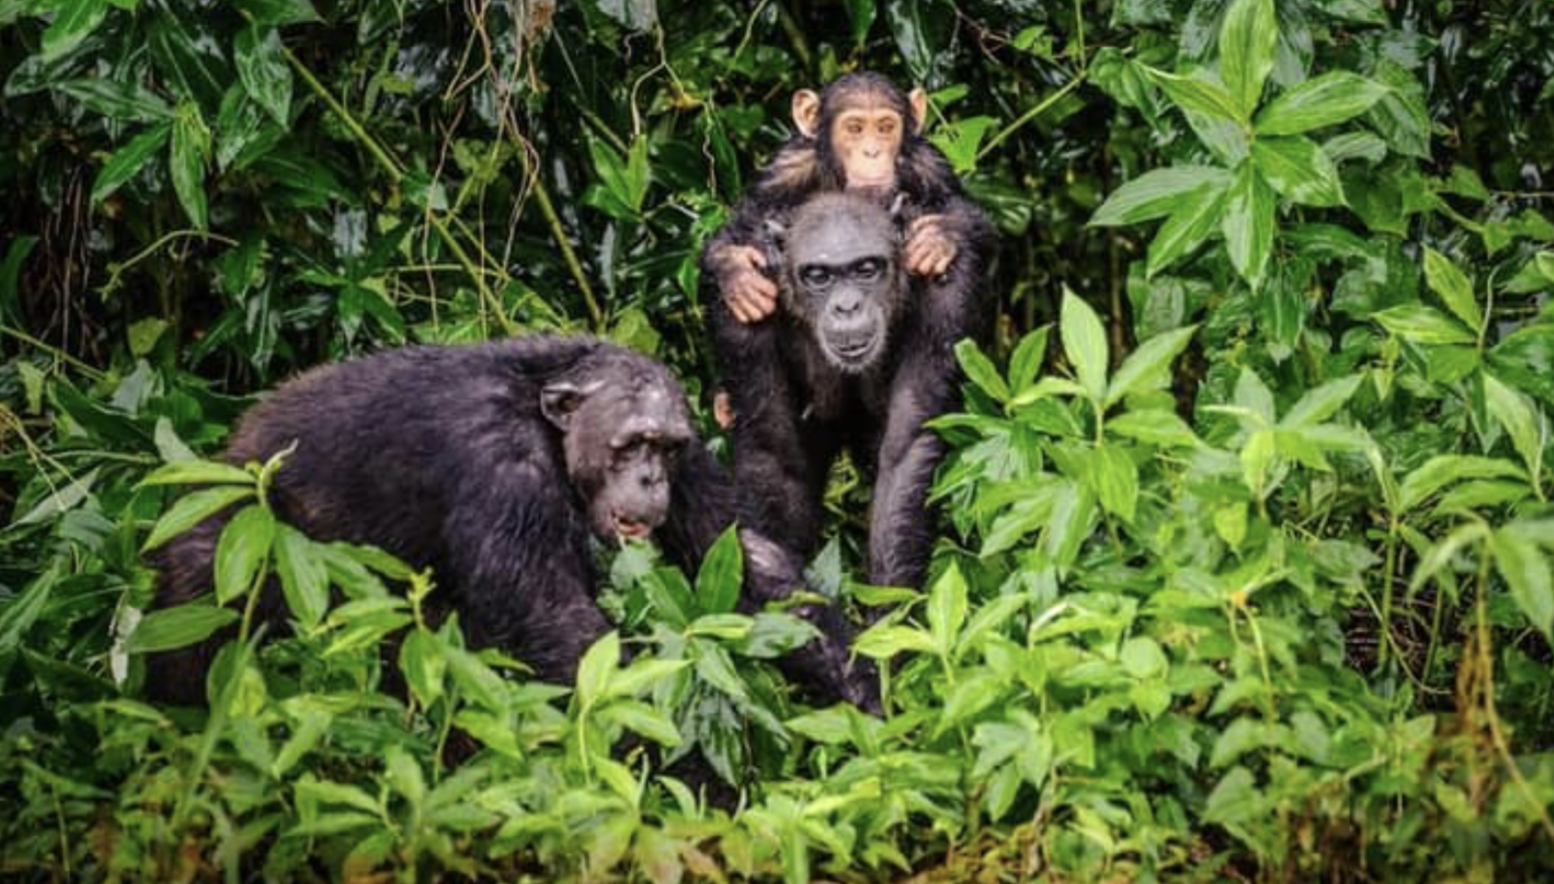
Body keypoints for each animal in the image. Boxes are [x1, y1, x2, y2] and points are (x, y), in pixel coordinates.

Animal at [148, 335, 876, 711]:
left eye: (664, 448)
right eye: (631, 444)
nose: (650, 480)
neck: (550, 419)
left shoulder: (695, 449)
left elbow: (749, 560)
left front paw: (871, 702)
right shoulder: (500, 463)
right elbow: (559, 624)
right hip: (236, 533)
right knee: (196, 619)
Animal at [699, 69, 988, 324]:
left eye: (885, 128)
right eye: (855, 128)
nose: (871, 152)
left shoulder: (929, 163)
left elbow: (965, 209)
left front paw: (938, 237)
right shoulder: (785, 167)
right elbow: (743, 222)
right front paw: (738, 275)